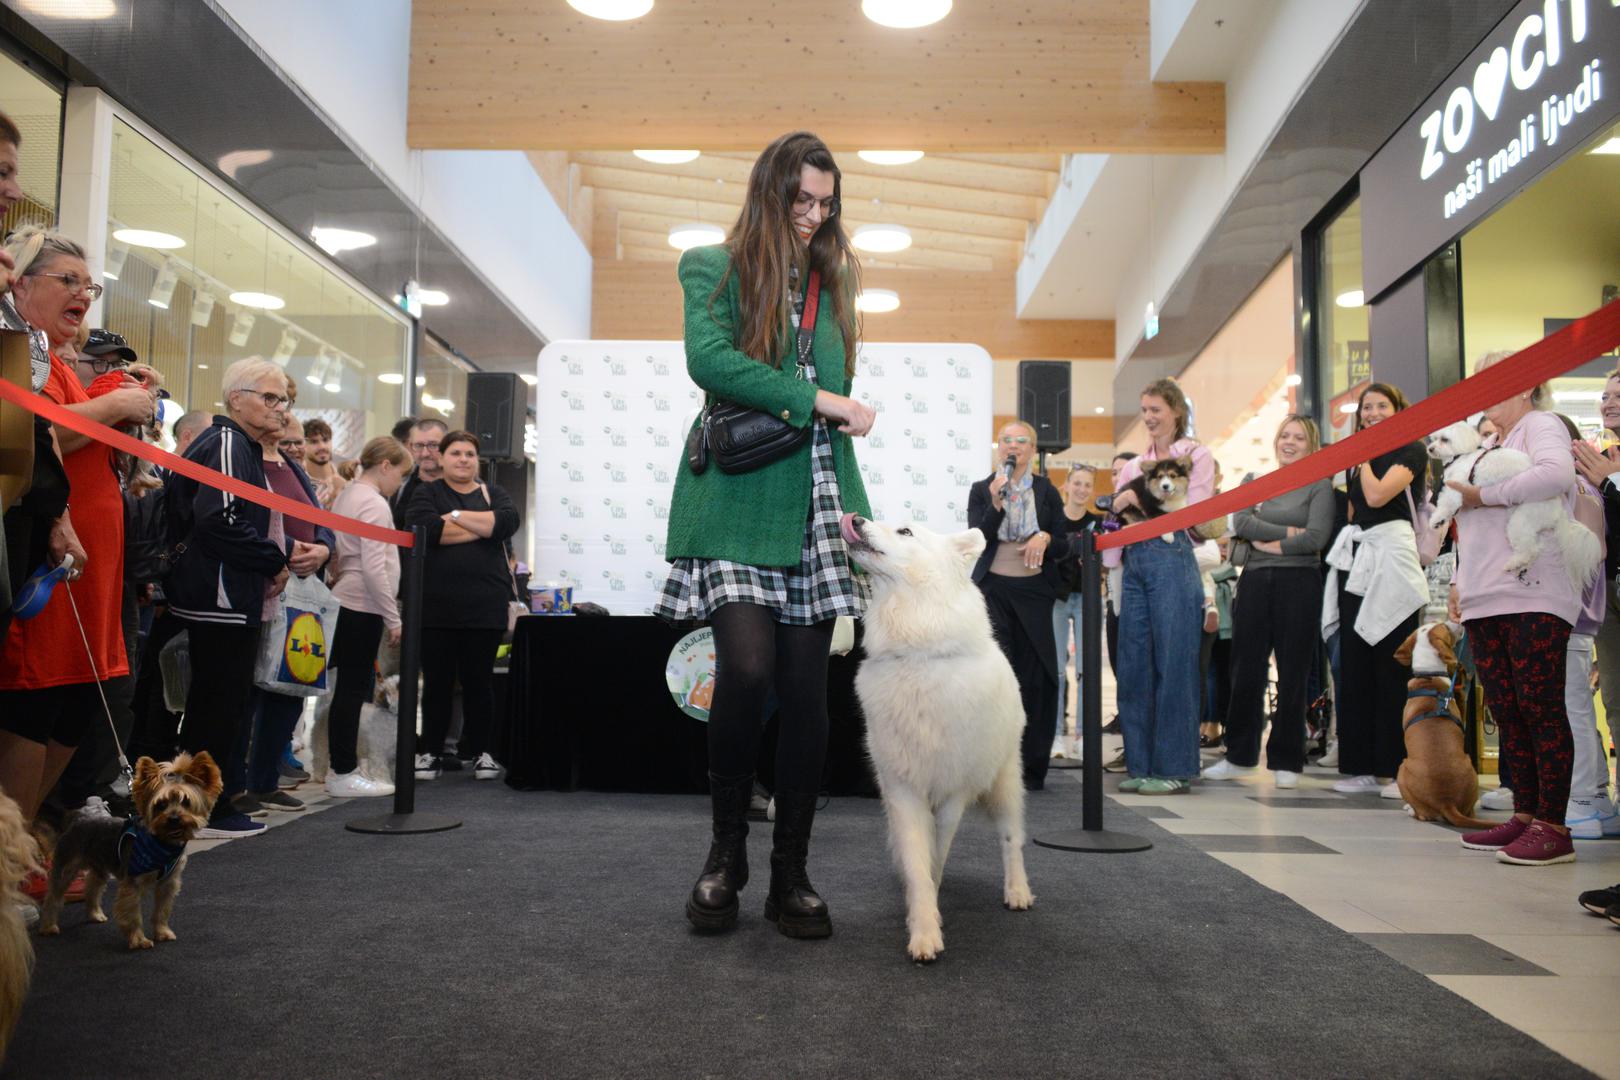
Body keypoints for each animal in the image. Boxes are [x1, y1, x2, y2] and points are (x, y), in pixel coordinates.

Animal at [842, 514, 1030, 965]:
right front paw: (923, 928)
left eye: (906, 532)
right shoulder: (902, 789)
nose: (854, 518)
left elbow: (937, 853)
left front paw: (928, 910)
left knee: (1012, 840)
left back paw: (1017, 891)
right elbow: (915, 857)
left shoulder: (951, 794)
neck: (917, 655)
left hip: (1005, 782)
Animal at [1425, 420, 1600, 592]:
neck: (1460, 456)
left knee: (1529, 548)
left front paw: (1437, 520)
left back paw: (1514, 563)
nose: (1430, 448)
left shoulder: (1457, 487)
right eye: (1433, 439)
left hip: (1522, 518)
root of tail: (1558, 510)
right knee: (1535, 547)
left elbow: (1446, 503)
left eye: (1445, 439)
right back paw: (1521, 565)